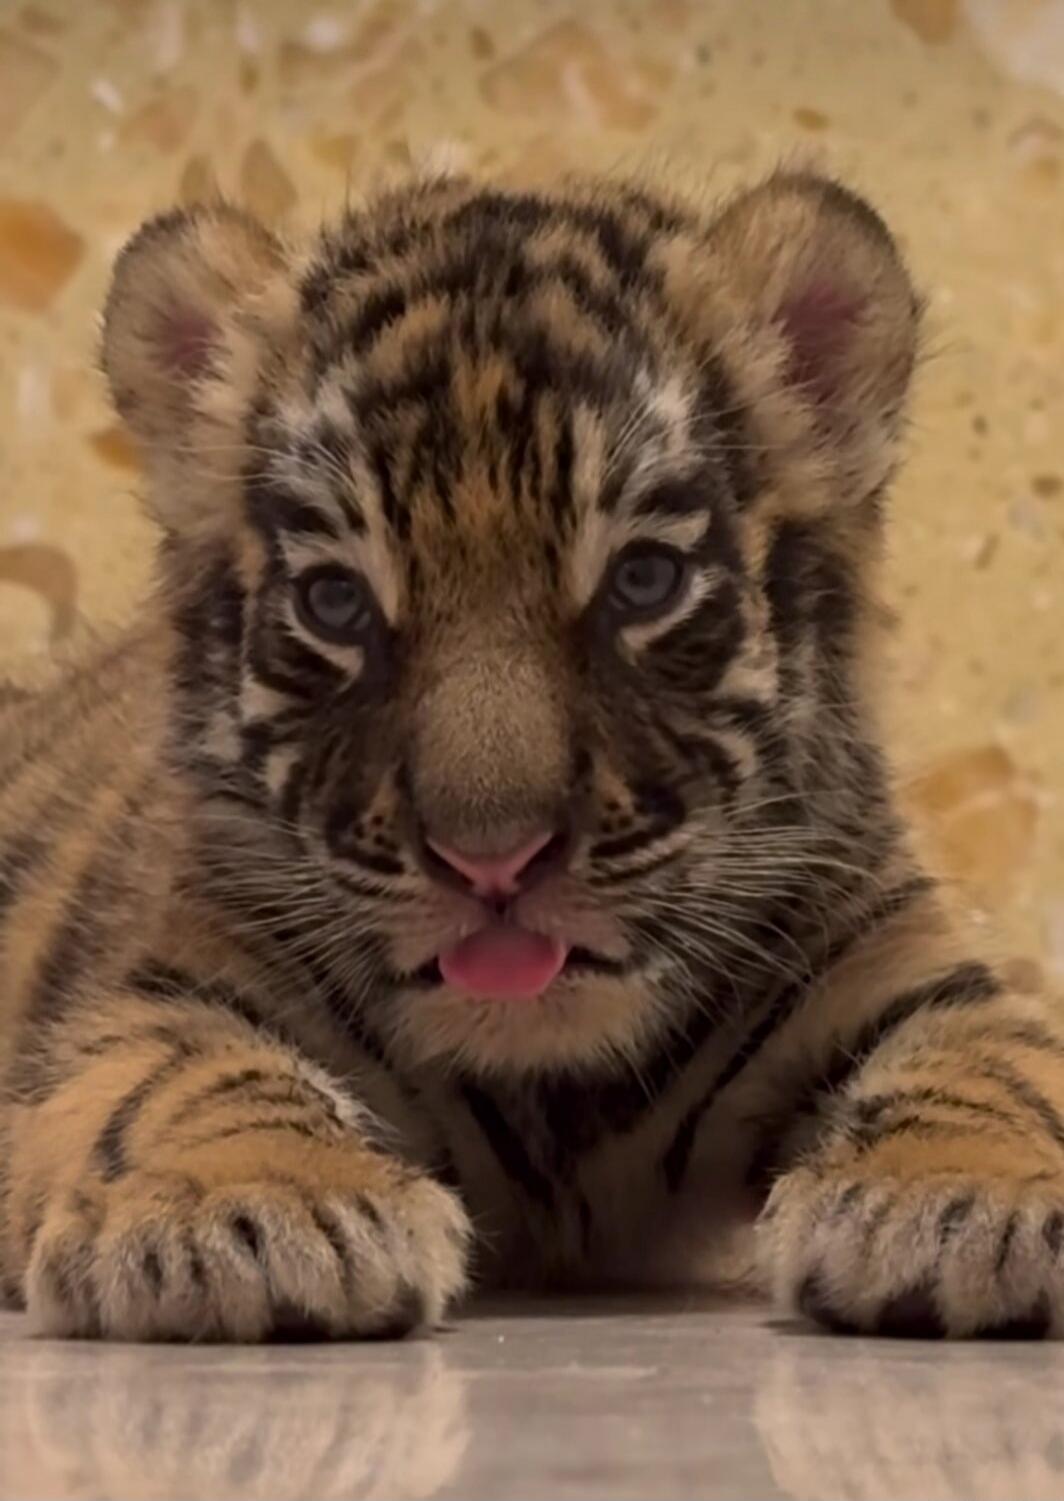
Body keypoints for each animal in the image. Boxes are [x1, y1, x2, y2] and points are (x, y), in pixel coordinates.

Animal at [0, 166, 1061, 1344]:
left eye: (642, 581)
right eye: (336, 601)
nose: (492, 861)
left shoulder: (903, 966)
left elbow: (994, 1069)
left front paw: (971, 1198)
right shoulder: (167, 990)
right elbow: (192, 1080)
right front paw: (250, 1208)